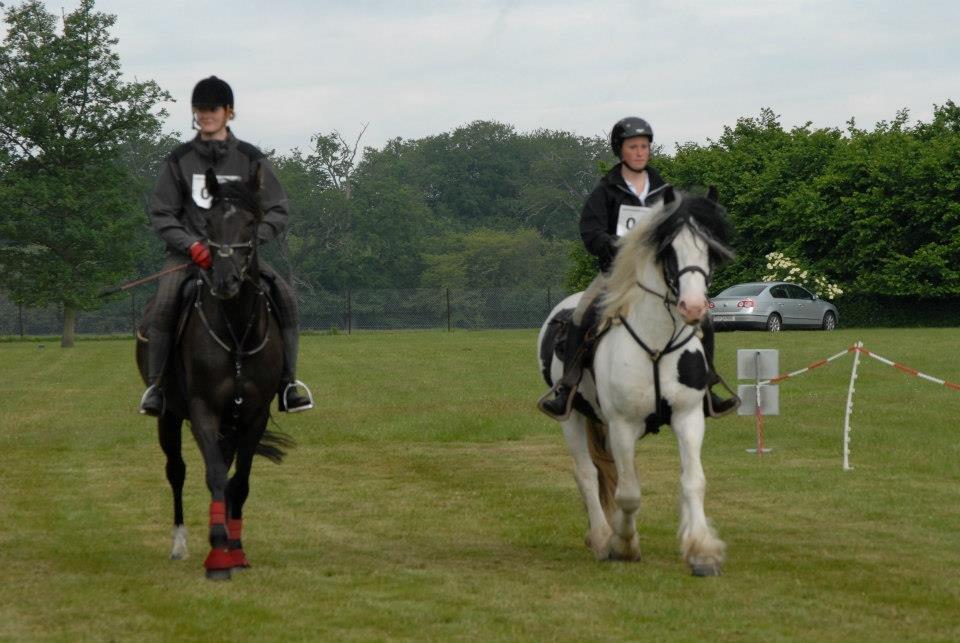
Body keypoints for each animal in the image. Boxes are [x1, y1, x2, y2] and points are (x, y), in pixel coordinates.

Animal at [137, 169, 290, 580]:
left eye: (251, 222)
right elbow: (216, 475)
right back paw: (180, 545)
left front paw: (235, 548)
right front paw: (218, 552)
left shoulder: (252, 416)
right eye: (209, 224)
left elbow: (239, 481)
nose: (225, 280)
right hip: (170, 417)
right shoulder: (203, 411)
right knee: (177, 470)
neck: (235, 332)